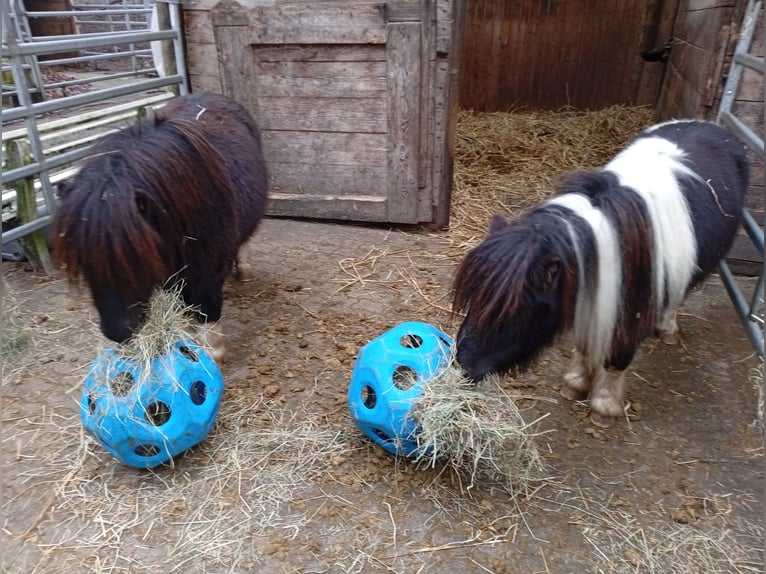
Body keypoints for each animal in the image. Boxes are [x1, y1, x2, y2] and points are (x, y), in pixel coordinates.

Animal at [53, 92, 270, 362]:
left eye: (134, 259)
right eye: (83, 264)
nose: (117, 332)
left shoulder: (208, 272)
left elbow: (206, 309)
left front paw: (212, 355)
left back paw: (244, 270)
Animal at [456, 120, 752, 428]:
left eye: (518, 310)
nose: (463, 363)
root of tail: (713, 127)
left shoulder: (631, 316)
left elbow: (617, 357)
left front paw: (604, 406)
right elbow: (586, 344)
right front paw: (575, 384)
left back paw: (668, 330)